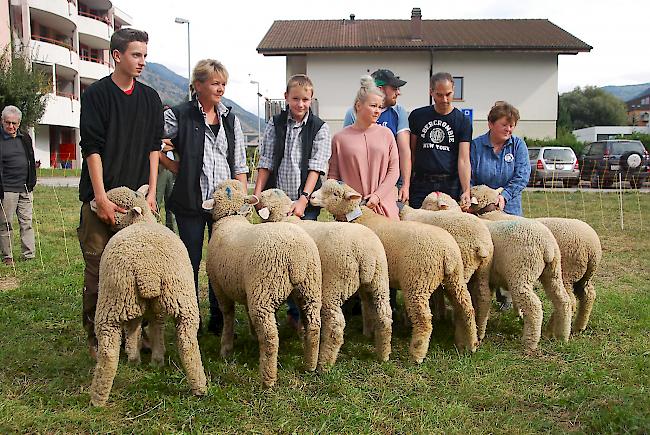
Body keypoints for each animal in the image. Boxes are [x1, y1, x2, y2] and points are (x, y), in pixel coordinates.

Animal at [88, 186, 205, 408]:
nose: (92, 202)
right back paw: (200, 388)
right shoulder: (150, 304)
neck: (141, 222)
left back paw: (97, 398)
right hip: (182, 298)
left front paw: (134, 357)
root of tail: (147, 270)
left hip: (112, 300)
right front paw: (155, 359)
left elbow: (135, 327)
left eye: (115, 202)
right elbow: (153, 325)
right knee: (188, 343)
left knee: (108, 352)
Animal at [202, 181, 322, 388]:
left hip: (264, 292)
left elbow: (228, 316)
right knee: (314, 326)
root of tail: (297, 256)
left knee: (270, 337)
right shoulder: (246, 289)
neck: (231, 218)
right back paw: (310, 365)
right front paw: (251, 333)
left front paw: (226, 349)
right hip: (309, 288)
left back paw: (267, 379)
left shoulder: (219, 286)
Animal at [256, 189, 390, 370]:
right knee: (385, 316)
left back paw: (324, 363)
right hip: (380, 281)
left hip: (335, 284)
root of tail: (366, 253)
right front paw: (303, 333)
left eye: (266, 196)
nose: (257, 196)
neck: (284, 219)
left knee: (335, 324)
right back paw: (384, 355)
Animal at [308, 181, 476, 364]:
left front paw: (368, 331)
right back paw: (471, 344)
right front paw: (369, 331)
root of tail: (447, 252)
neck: (361, 217)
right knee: (466, 307)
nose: (311, 197)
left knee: (424, 320)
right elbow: (368, 305)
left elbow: (366, 305)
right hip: (455, 277)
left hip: (418, 282)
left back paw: (417, 355)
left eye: (335, 194)